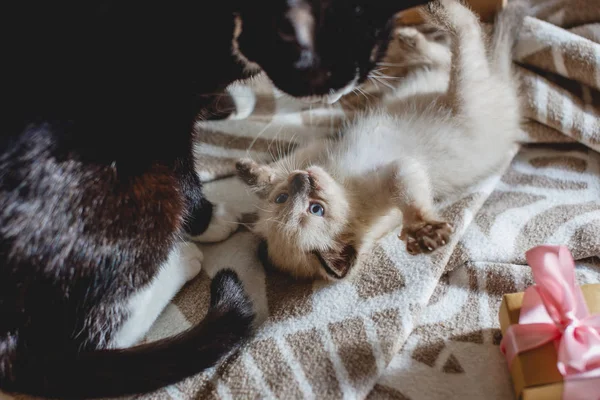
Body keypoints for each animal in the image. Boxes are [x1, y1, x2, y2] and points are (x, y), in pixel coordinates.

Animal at [1, 1, 432, 398]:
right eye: (325, 73)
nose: (341, 93)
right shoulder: (159, 116)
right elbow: (184, 174)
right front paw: (212, 219)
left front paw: (230, 101)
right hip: (127, 197)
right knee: (90, 343)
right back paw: (182, 260)